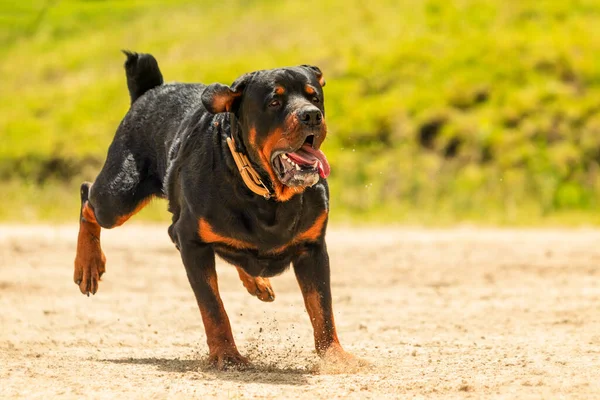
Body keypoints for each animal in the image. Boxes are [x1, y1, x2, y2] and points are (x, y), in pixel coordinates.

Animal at [75, 51, 356, 370]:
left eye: (315, 97)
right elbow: (213, 307)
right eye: (275, 102)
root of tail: (149, 91)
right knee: (88, 196)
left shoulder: (313, 248)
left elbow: (322, 306)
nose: (311, 115)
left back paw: (257, 281)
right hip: (120, 195)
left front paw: (334, 355)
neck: (266, 194)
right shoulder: (192, 242)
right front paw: (227, 354)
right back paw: (87, 265)